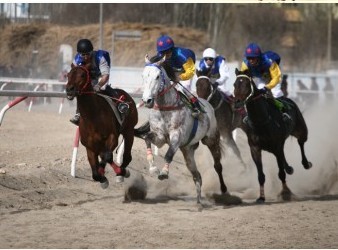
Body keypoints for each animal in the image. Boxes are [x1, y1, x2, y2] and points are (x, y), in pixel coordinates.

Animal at [139, 56, 228, 203]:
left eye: (157, 76)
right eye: (143, 76)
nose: (147, 100)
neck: (165, 107)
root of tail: (207, 103)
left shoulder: (176, 136)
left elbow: (169, 154)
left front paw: (164, 172)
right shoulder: (159, 137)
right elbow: (147, 138)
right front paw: (153, 168)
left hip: (211, 139)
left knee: (218, 165)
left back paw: (224, 189)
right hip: (188, 150)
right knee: (196, 175)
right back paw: (198, 201)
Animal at [234, 69, 312, 203]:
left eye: (246, 84)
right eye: (235, 84)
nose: (237, 102)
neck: (261, 121)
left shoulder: (276, 147)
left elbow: (281, 173)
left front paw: (286, 193)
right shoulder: (255, 148)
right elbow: (261, 175)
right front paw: (261, 197)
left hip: (301, 131)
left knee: (301, 143)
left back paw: (306, 163)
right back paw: (289, 167)